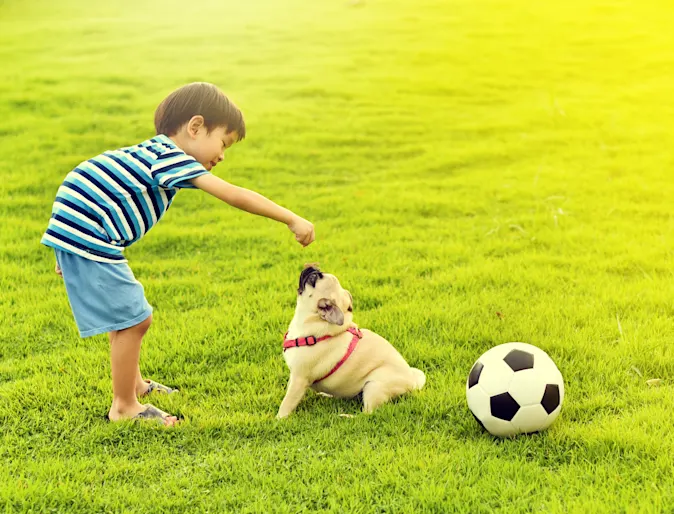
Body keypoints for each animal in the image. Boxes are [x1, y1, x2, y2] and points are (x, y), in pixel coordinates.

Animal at [274, 264, 422, 416]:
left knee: (367, 413)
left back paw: (345, 415)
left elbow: (287, 402)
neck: (315, 321)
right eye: (316, 274)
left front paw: (279, 418)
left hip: (374, 386)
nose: (312, 268)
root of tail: (412, 383)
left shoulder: (299, 379)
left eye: (314, 278)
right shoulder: (294, 376)